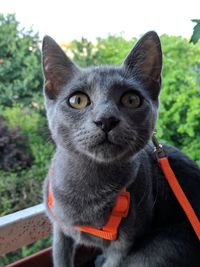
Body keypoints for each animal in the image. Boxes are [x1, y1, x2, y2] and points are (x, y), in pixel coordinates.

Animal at [41, 31, 200, 267]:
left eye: (131, 99)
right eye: (77, 100)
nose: (106, 120)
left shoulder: (123, 245)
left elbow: (113, 261)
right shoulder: (60, 230)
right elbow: (60, 257)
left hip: (153, 252)